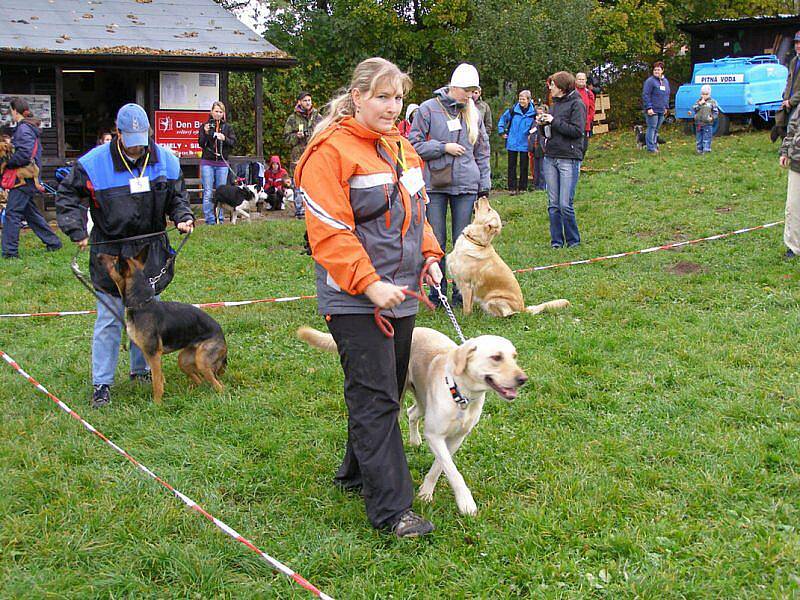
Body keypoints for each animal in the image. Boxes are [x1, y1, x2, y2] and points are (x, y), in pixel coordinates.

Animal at [99, 246, 228, 406]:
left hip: (202, 360)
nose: (98, 255)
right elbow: (159, 378)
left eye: (114, 260)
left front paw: (157, 404)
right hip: (184, 360)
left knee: (219, 386)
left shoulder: (154, 355)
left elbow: (157, 383)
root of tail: (221, 335)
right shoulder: (148, 354)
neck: (141, 304)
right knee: (201, 380)